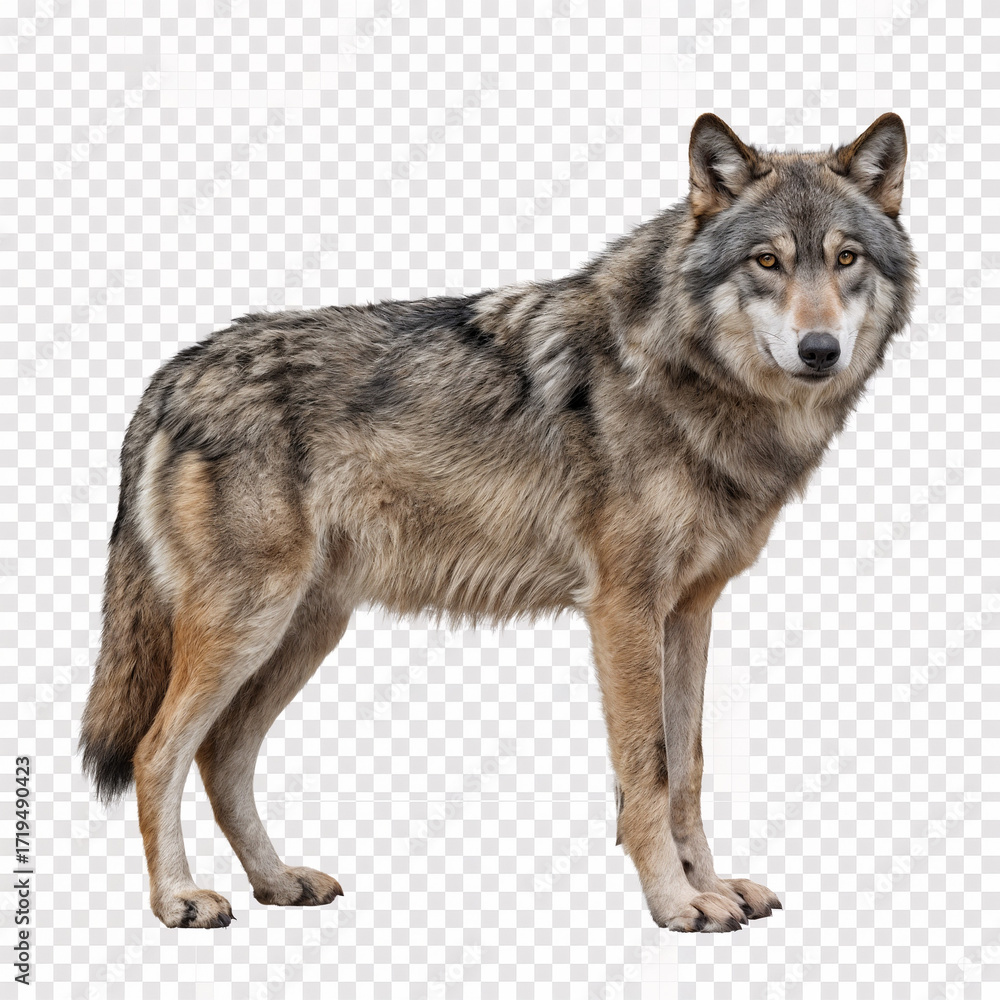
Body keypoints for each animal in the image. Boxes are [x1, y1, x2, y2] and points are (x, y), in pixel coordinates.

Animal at [80, 113, 917, 930]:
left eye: (845, 258)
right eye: (767, 261)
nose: (819, 349)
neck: (682, 376)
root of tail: (172, 376)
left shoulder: (689, 611)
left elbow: (689, 768)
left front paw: (710, 887)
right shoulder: (622, 610)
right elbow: (647, 767)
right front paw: (675, 904)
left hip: (303, 632)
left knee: (223, 756)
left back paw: (278, 882)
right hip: (247, 625)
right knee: (160, 751)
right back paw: (178, 899)